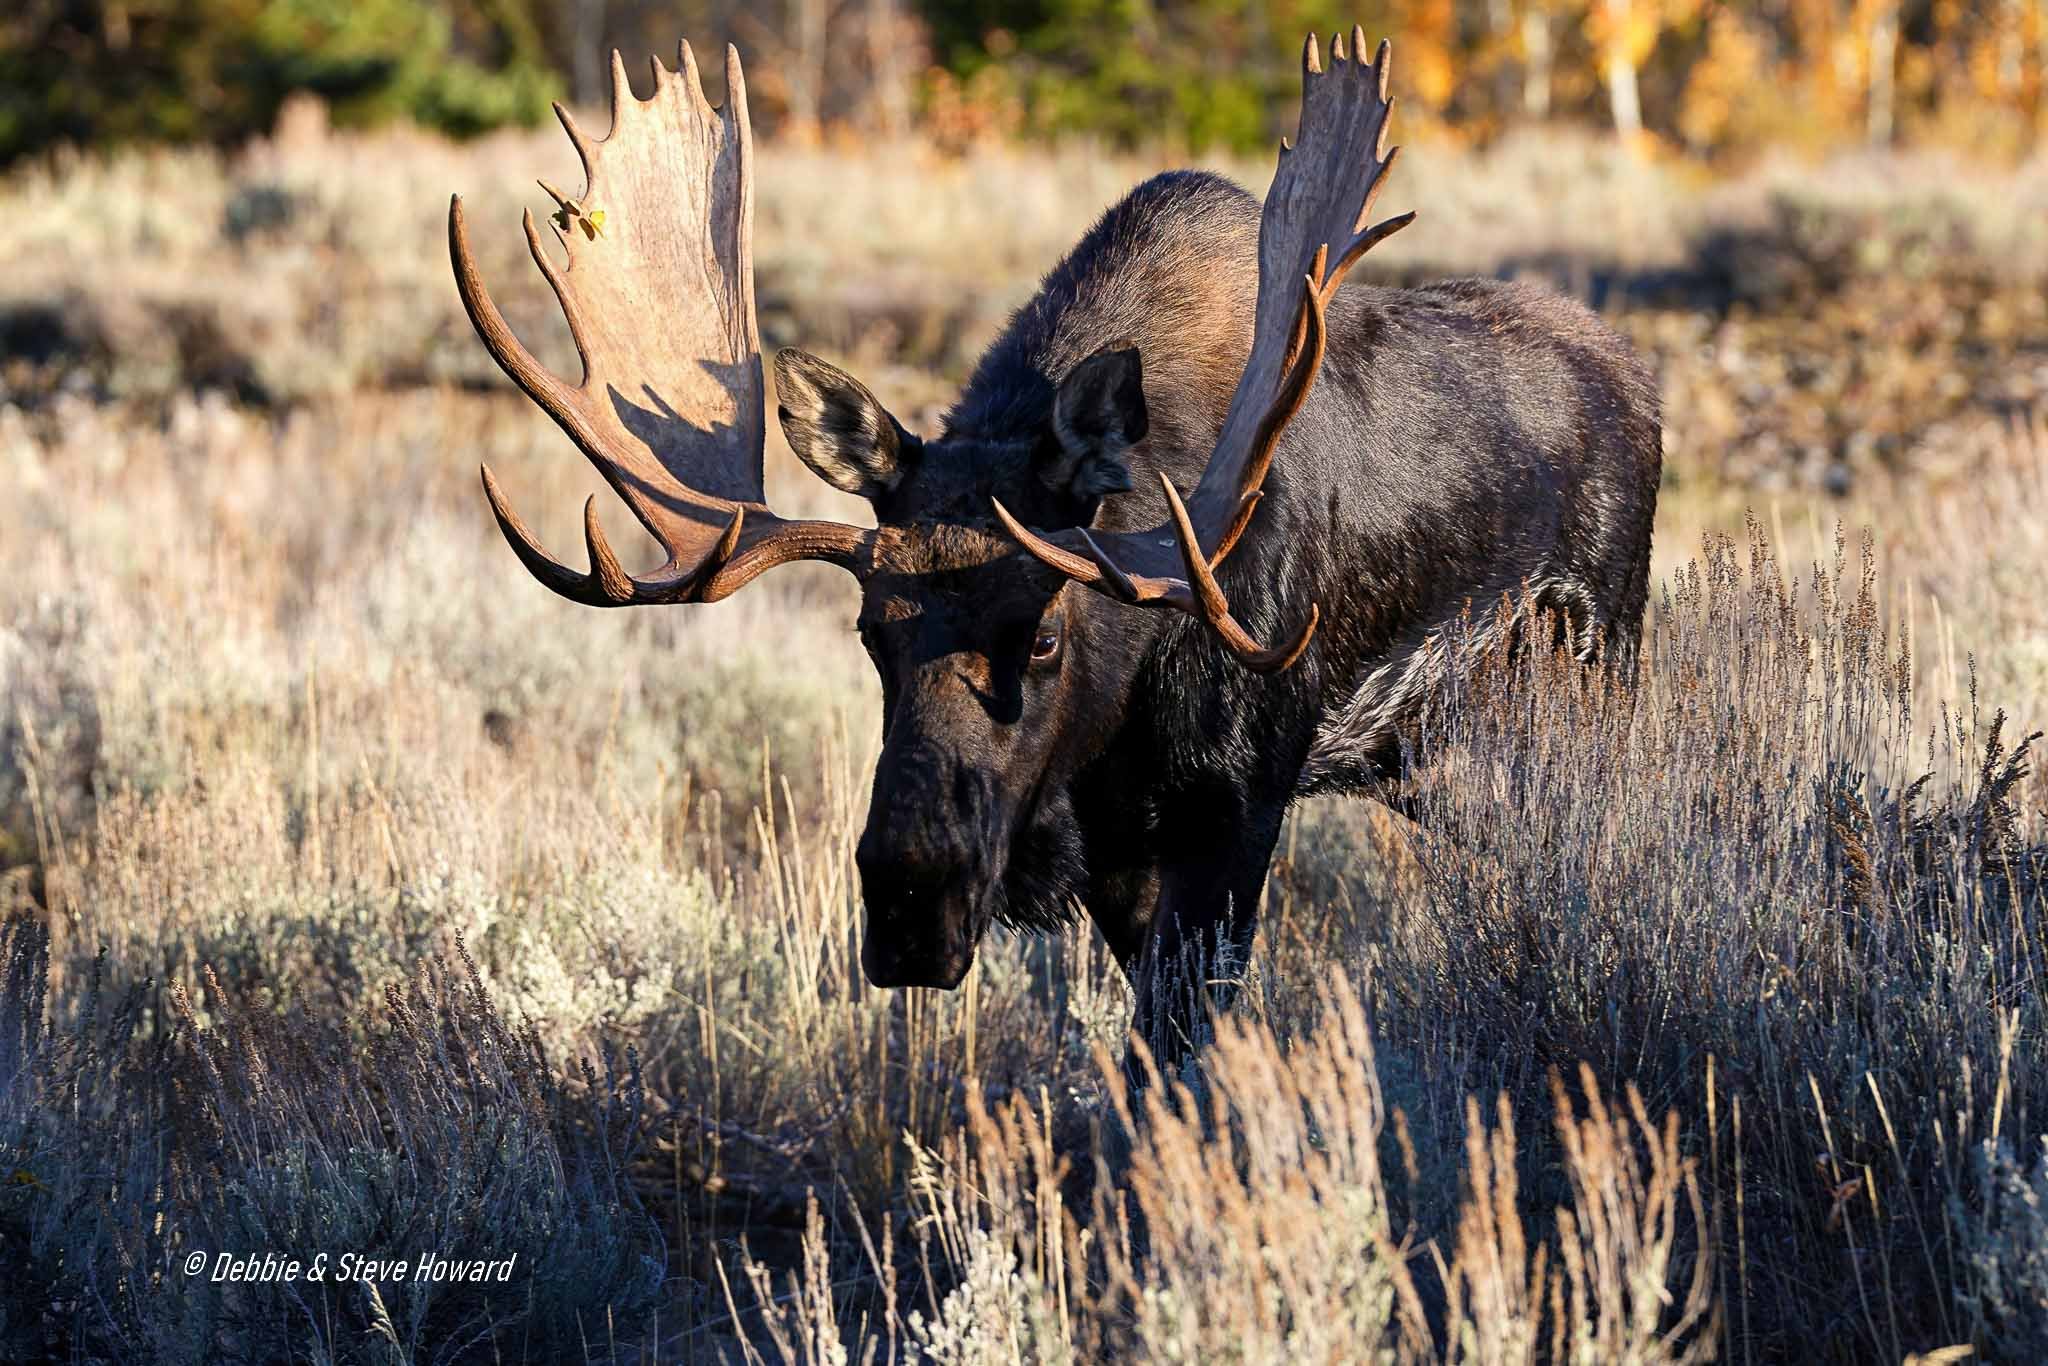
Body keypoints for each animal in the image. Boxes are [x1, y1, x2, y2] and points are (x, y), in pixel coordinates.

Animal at [447, 31, 1660, 1072]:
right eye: (867, 634)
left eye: (1041, 637)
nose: (909, 905)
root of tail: (1642, 383)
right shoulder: (1118, 848)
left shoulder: (1240, 796)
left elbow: (1180, 1049)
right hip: (1439, 766)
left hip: (1592, 675)